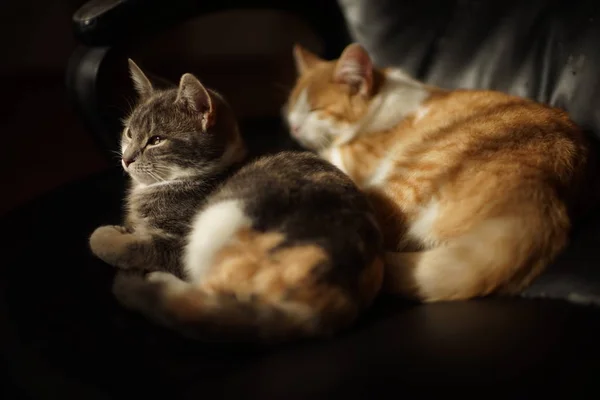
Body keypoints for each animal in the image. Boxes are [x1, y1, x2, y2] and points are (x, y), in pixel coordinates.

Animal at [88, 61, 384, 342]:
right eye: (128, 132)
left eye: (156, 140)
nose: (126, 158)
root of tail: (339, 299)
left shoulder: (177, 243)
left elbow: (135, 245)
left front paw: (106, 237)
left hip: (220, 219)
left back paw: (151, 284)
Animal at [286, 41, 596, 304]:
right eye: (291, 111)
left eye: (314, 110)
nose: (294, 128)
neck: (382, 99)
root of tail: (542, 193)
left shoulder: (352, 158)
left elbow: (331, 153)